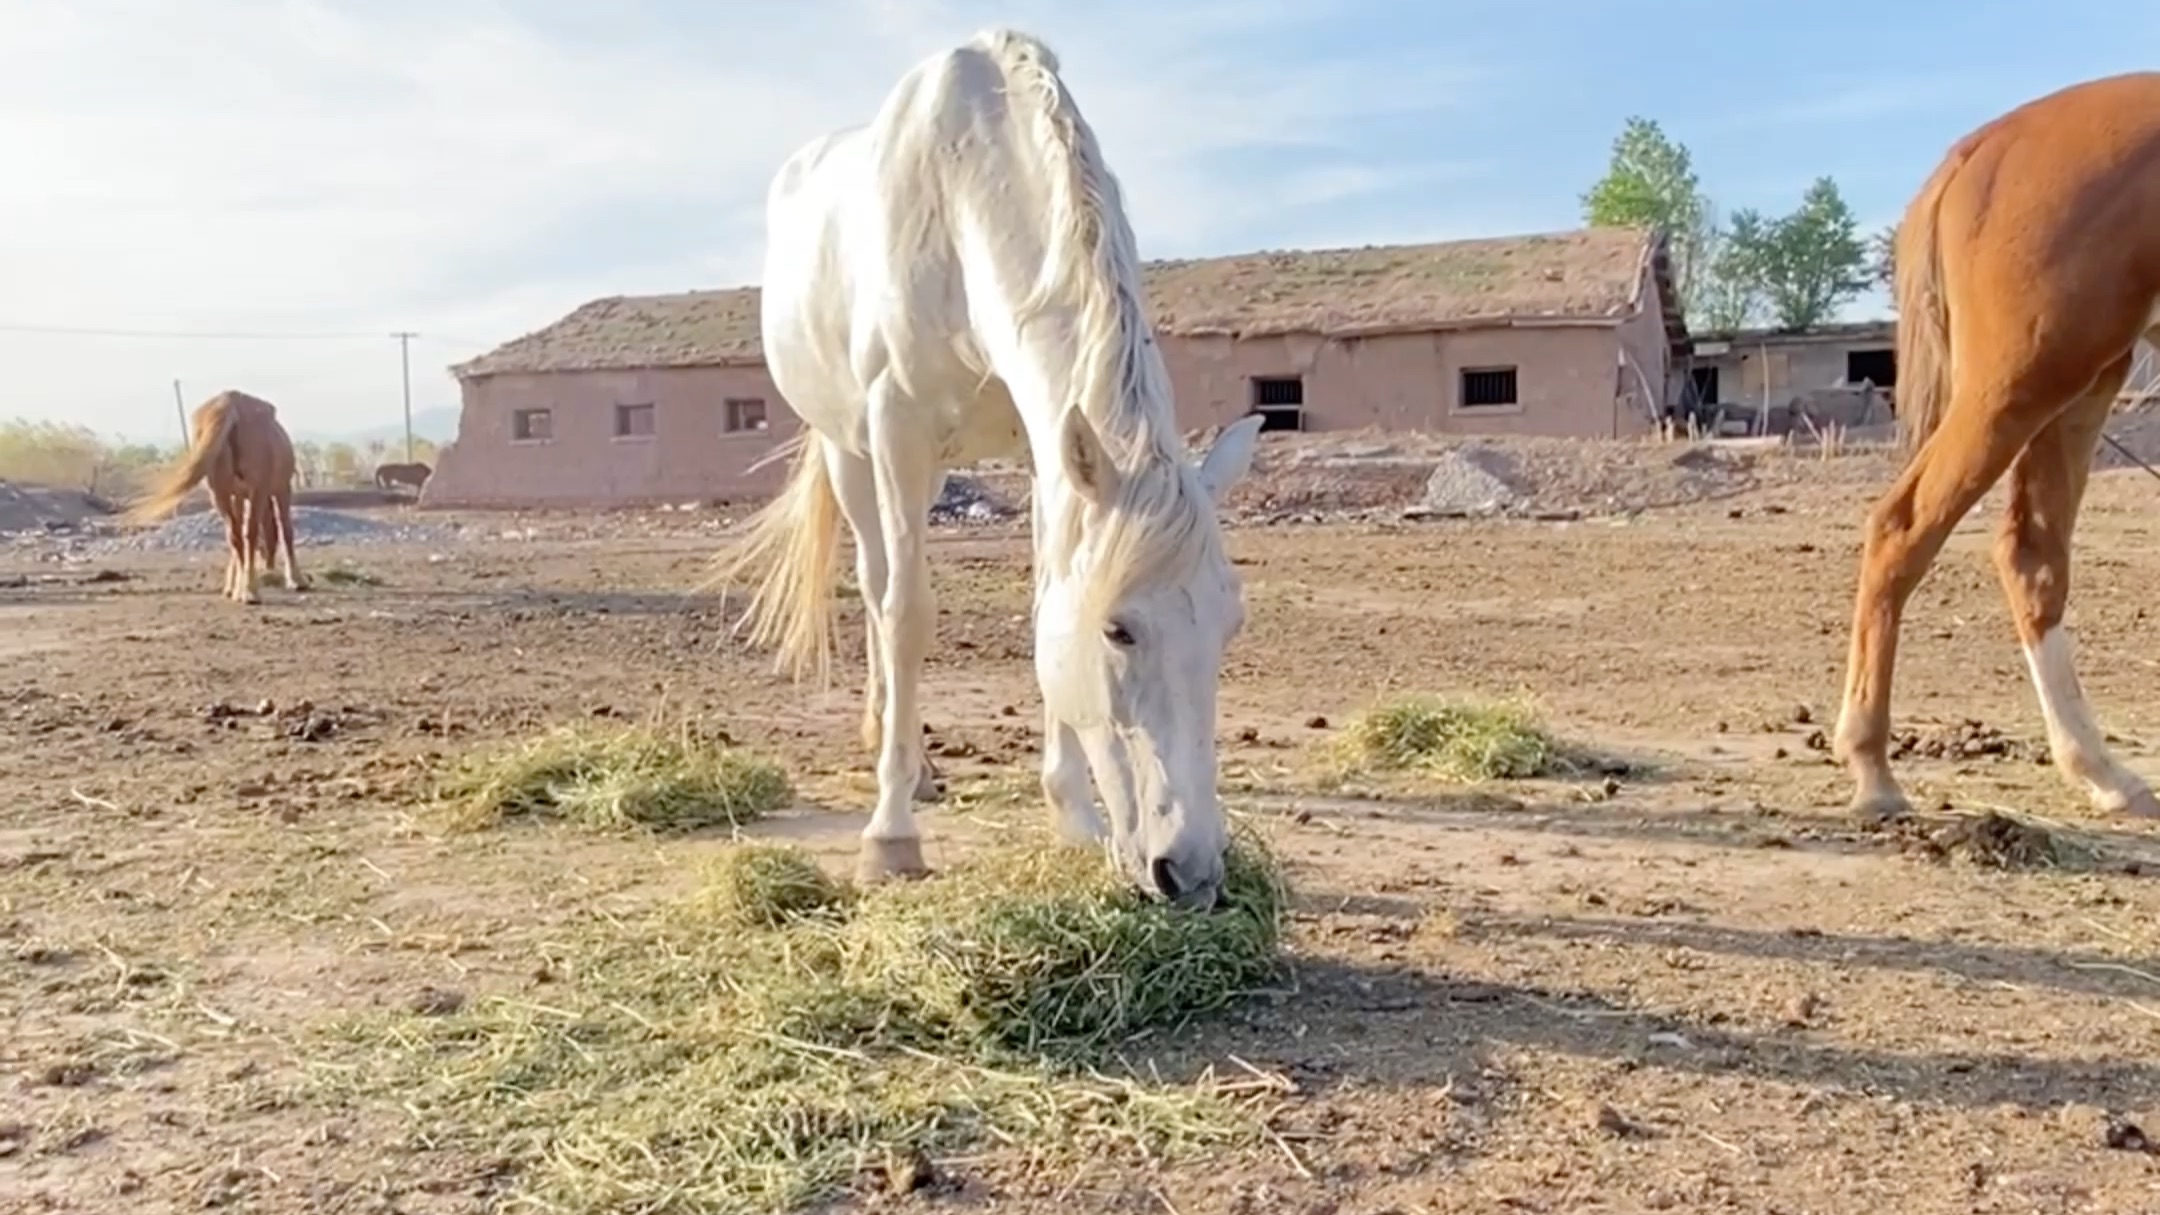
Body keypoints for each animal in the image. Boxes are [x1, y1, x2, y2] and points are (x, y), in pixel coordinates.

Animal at [123, 386, 308, 601]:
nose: (267, 566)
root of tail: (231, 403)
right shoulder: (280, 490)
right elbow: (286, 531)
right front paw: (296, 579)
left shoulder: (237, 495)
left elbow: (239, 539)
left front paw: (232, 587)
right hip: (255, 490)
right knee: (248, 533)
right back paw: (250, 591)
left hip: (219, 493)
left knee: (234, 536)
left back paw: (243, 589)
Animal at [725, 28, 1261, 903]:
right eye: (1118, 629)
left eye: (1229, 621)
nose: (1191, 872)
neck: (959, 203)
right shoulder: (897, 428)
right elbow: (908, 616)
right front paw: (892, 836)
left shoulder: (1047, 453)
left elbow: (1045, 602)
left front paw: (1072, 817)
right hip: (852, 450)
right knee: (877, 588)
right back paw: (900, 760)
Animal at [1831, 70, 2160, 817]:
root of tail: (1981, 148)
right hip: (2021, 382)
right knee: (1904, 527)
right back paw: (1872, 769)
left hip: (2084, 382)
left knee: (2032, 556)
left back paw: (2103, 772)